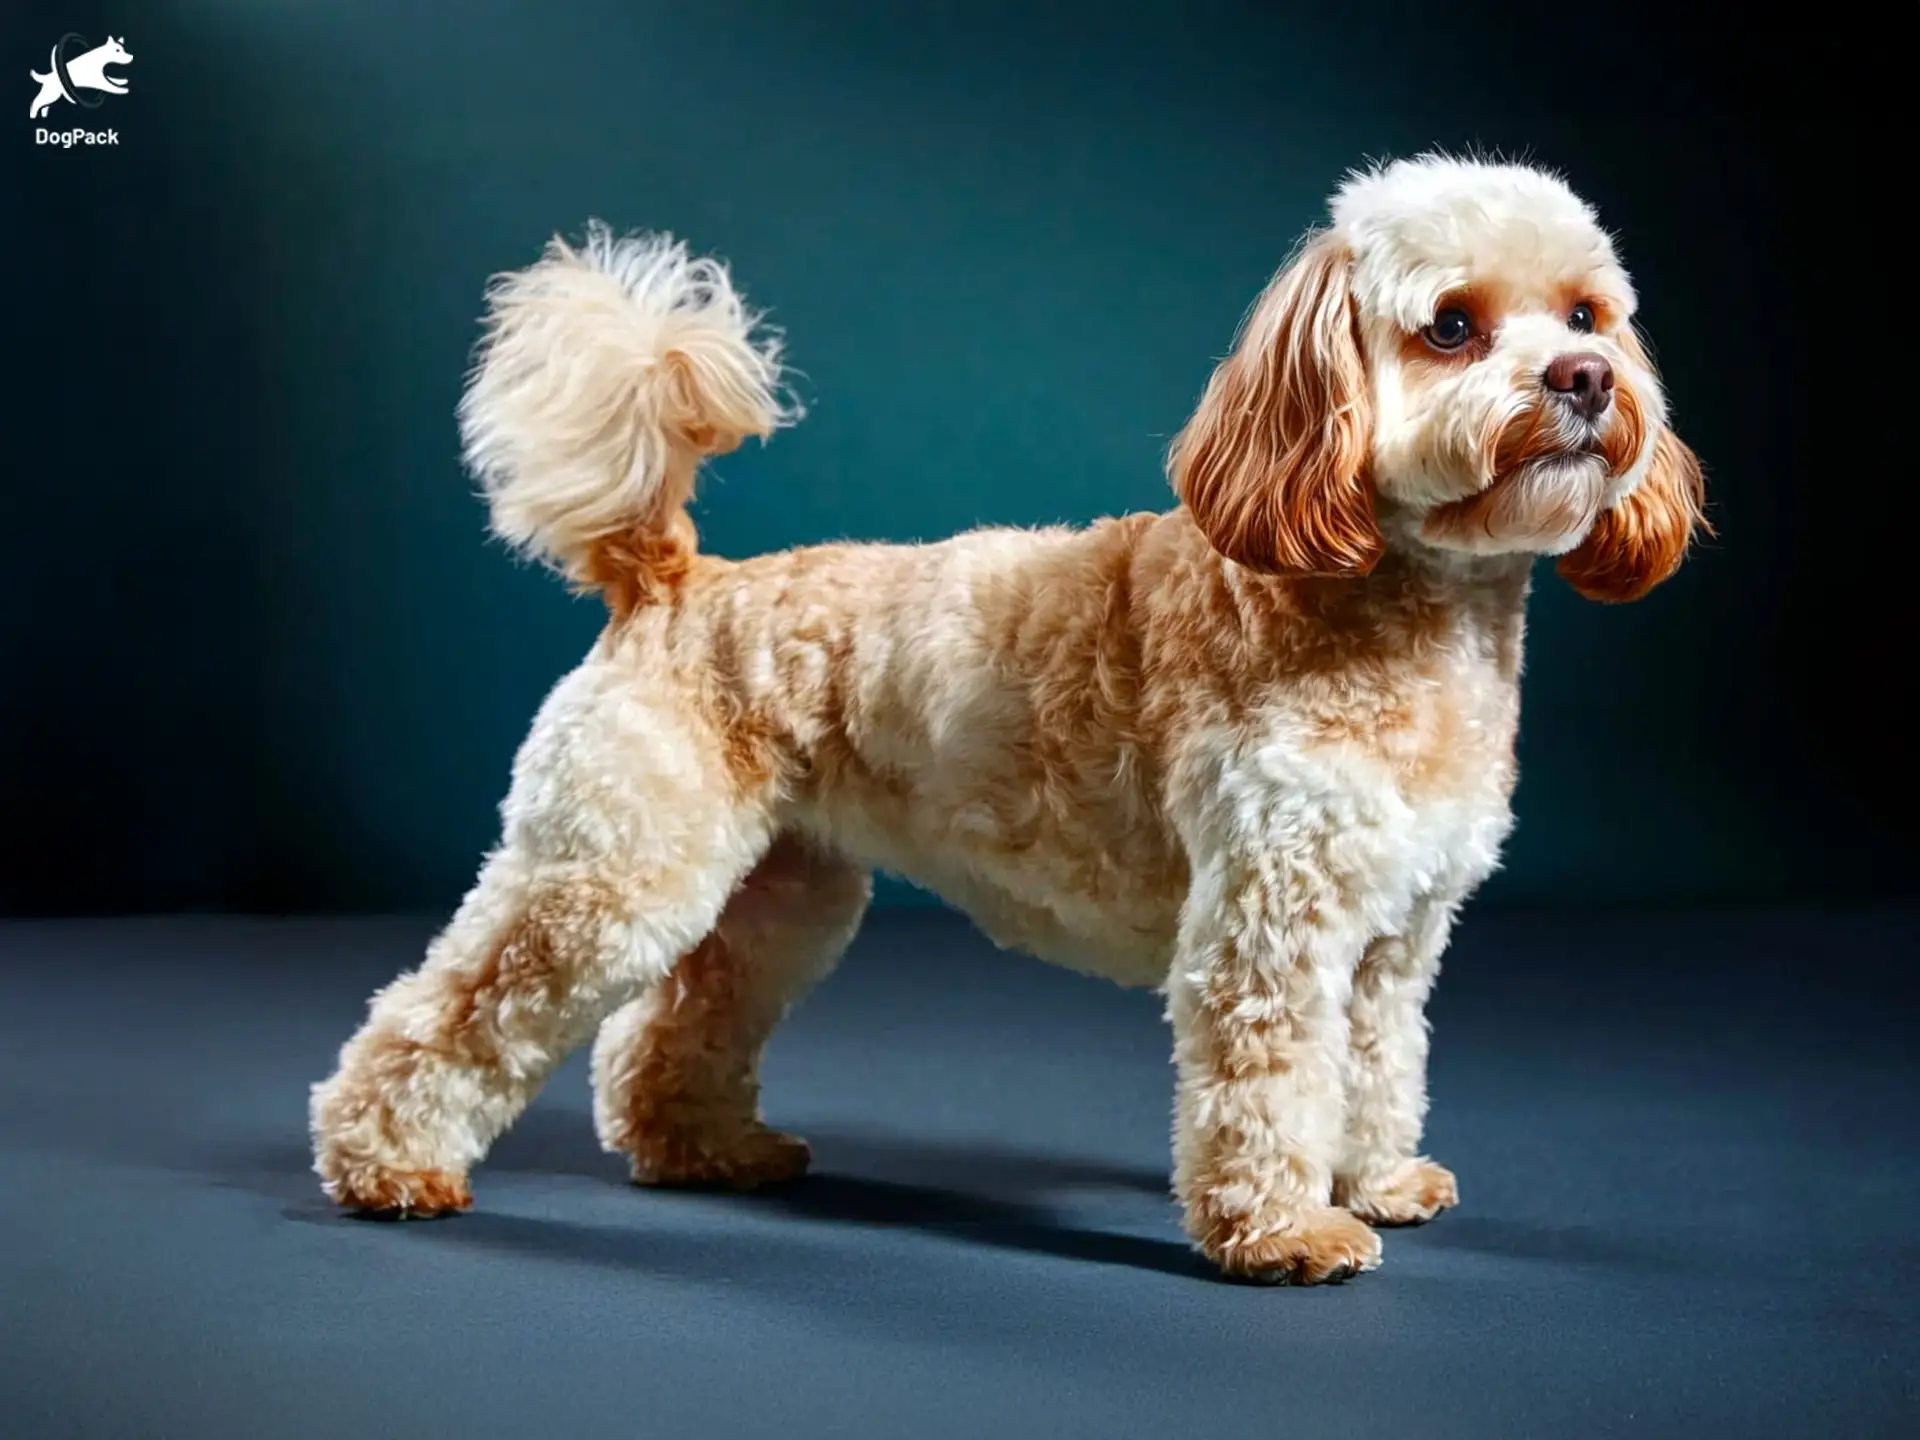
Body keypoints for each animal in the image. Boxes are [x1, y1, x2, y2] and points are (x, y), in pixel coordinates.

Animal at [314, 155, 1712, 1282]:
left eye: (1588, 315)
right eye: (1453, 326)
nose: (1587, 379)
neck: (1391, 606)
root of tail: (670, 576)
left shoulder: (1394, 940)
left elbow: (1374, 1070)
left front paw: (1373, 1183)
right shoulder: (1270, 926)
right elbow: (1269, 1087)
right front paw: (1285, 1232)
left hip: (777, 898)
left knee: (666, 1033)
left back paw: (704, 1148)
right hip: (607, 878)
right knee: (447, 1012)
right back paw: (384, 1164)